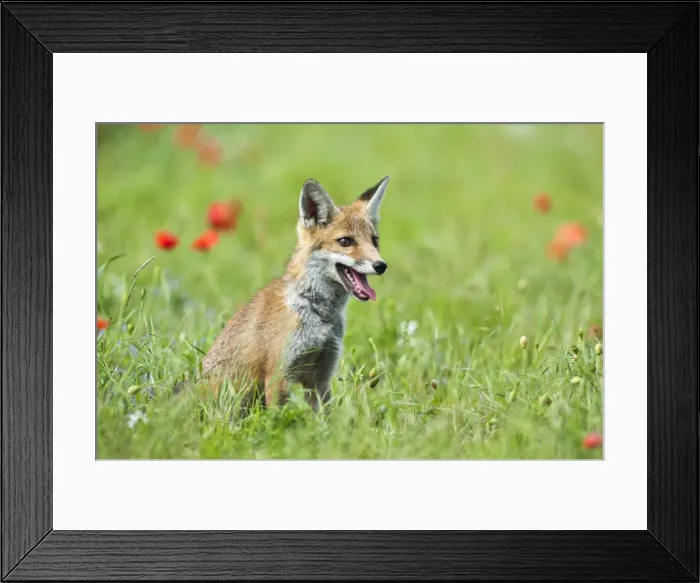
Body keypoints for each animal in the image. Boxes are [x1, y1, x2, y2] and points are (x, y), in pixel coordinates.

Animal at [200, 176, 391, 409]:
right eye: (346, 241)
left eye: (374, 240)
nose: (381, 266)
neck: (319, 313)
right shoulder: (278, 374)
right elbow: (278, 417)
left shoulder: (320, 377)